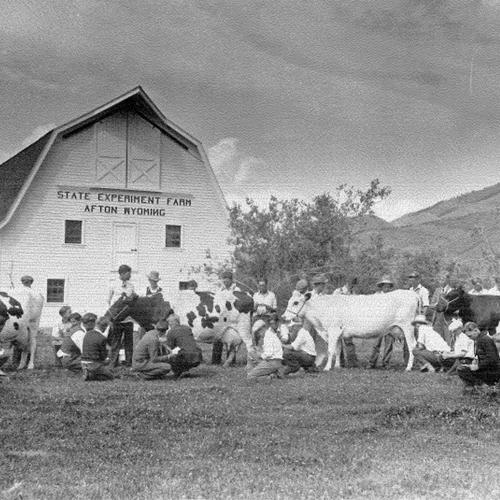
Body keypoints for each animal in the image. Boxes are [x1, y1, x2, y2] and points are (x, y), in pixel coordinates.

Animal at [288, 292, 420, 370]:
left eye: (296, 302)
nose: (284, 316)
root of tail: (412, 293)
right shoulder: (337, 333)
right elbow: (338, 350)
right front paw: (337, 366)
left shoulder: (333, 330)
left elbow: (330, 350)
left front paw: (327, 368)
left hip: (407, 327)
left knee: (412, 346)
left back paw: (409, 367)